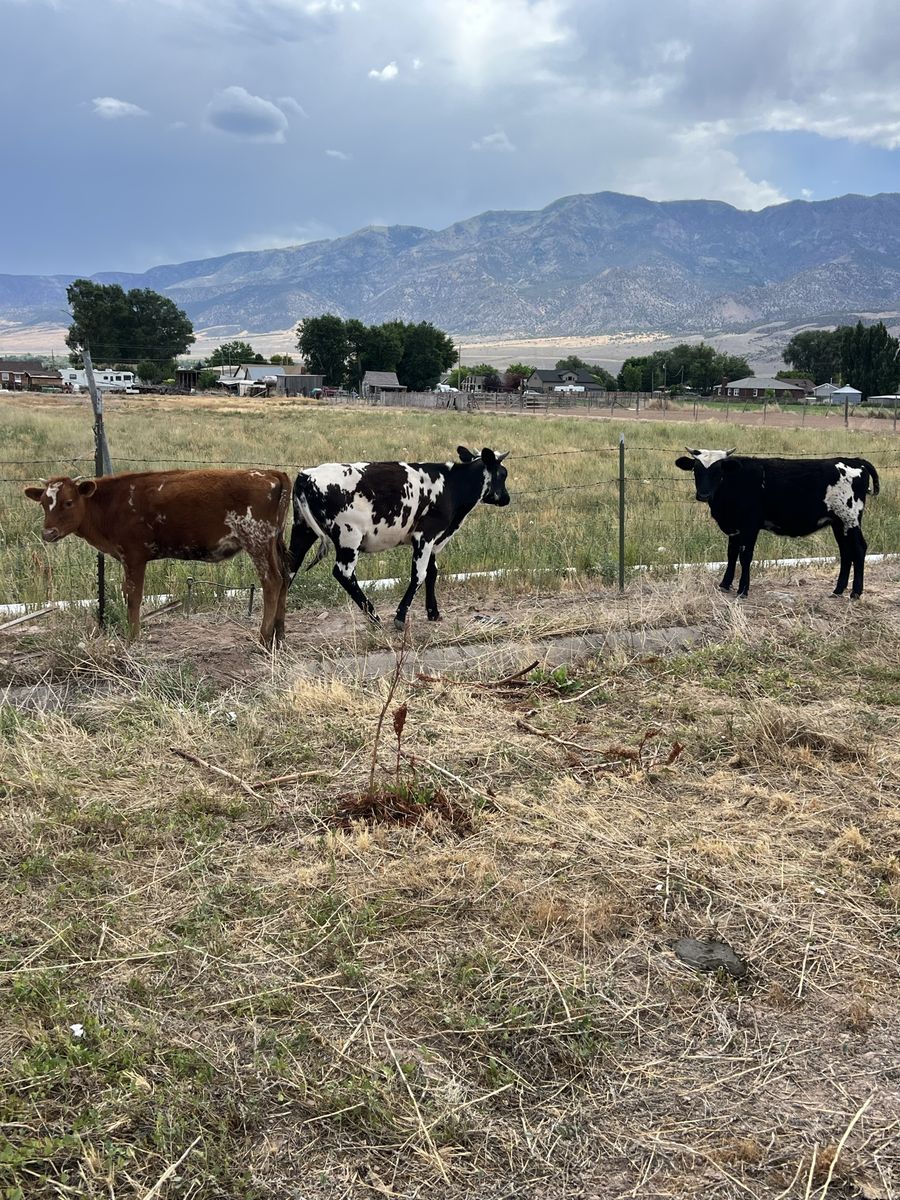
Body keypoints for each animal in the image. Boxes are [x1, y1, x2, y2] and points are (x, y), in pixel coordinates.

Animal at [24, 469, 291, 646]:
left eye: (69, 502)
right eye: (44, 503)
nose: (48, 533)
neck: (110, 504)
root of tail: (269, 473)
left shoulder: (134, 556)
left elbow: (133, 597)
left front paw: (132, 637)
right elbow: (127, 593)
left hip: (256, 541)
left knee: (272, 581)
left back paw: (263, 637)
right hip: (272, 544)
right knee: (285, 577)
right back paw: (279, 633)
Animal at [288, 446, 510, 628]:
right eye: (503, 474)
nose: (507, 499)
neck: (451, 486)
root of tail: (307, 475)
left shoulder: (432, 540)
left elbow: (432, 572)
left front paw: (433, 613)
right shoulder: (426, 536)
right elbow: (419, 575)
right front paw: (400, 617)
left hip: (302, 530)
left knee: (289, 567)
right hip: (348, 536)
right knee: (343, 573)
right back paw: (374, 617)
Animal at [675, 448, 880, 598]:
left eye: (718, 471)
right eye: (696, 470)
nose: (703, 495)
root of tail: (856, 461)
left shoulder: (750, 525)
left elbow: (745, 556)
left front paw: (742, 590)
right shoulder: (735, 527)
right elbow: (731, 554)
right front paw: (725, 584)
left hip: (849, 518)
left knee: (859, 549)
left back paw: (855, 593)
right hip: (839, 523)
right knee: (846, 552)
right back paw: (838, 590)